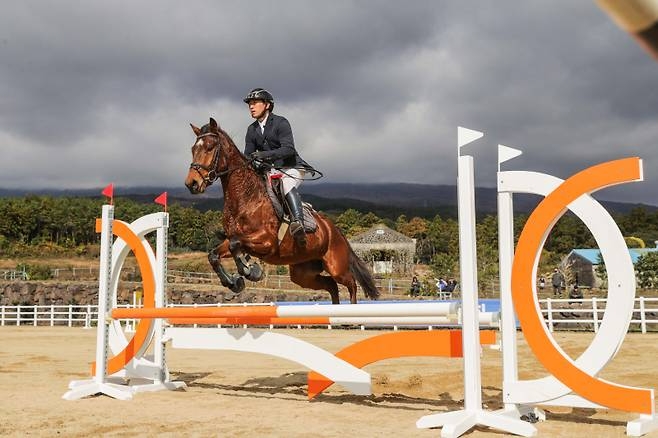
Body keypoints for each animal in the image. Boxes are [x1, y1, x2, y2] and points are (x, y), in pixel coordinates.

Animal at [184, 117, 380, 304]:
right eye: (193, 149)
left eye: (210, 148)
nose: (191, 184)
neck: (245, 196)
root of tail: (335, 230)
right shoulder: (235, 239)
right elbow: (214, 255)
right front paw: (235, 282)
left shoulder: (266, 242)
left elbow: (234, 244)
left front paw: (249, 271)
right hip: (303, 273)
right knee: (331, 285)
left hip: (335, 265)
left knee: (351, 283)